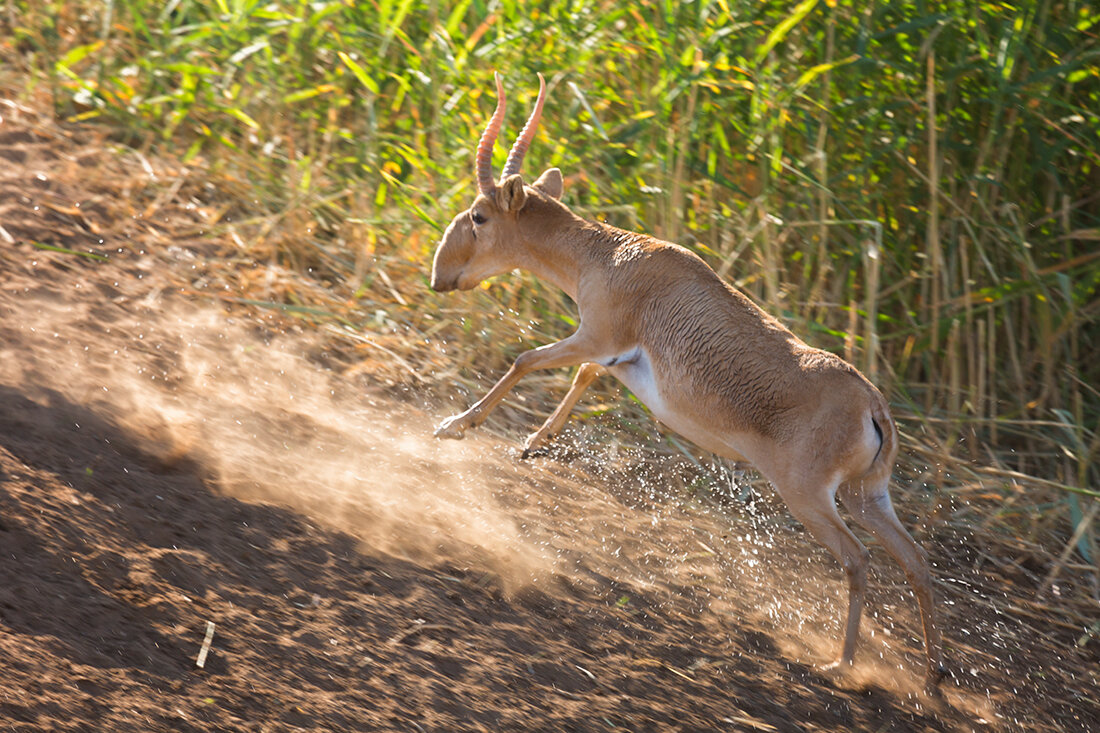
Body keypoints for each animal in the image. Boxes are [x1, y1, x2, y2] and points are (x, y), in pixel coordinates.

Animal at [426, 72, 946, 691]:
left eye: (479, 216)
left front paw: (453, 427)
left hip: (811, 498)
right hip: (867, 496)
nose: (439, 276)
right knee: (916, 563)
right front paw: (531, 444)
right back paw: (932, 682)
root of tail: (873, 406)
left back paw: (840, 664)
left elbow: (525, 360)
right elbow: (578, 376)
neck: (610, 254)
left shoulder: (595, 336)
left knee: (858, 559)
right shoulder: (613, 358)